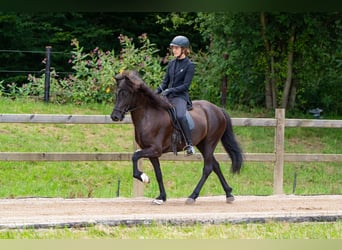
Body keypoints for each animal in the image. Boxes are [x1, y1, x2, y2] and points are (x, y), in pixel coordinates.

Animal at [110, 69, 243, 204]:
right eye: (117, 93)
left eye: (126, 93)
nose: (115, 116)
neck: (149, 115)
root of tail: (219, 109)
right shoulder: (152, 152)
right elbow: (158, 174)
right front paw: (161, 197)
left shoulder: (155, 149)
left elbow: (135, 156)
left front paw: (144, 177)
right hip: (203, 144)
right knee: (215, 166)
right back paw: (228, 194)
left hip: (209, 143)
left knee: (208, 168)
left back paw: (192, 196)